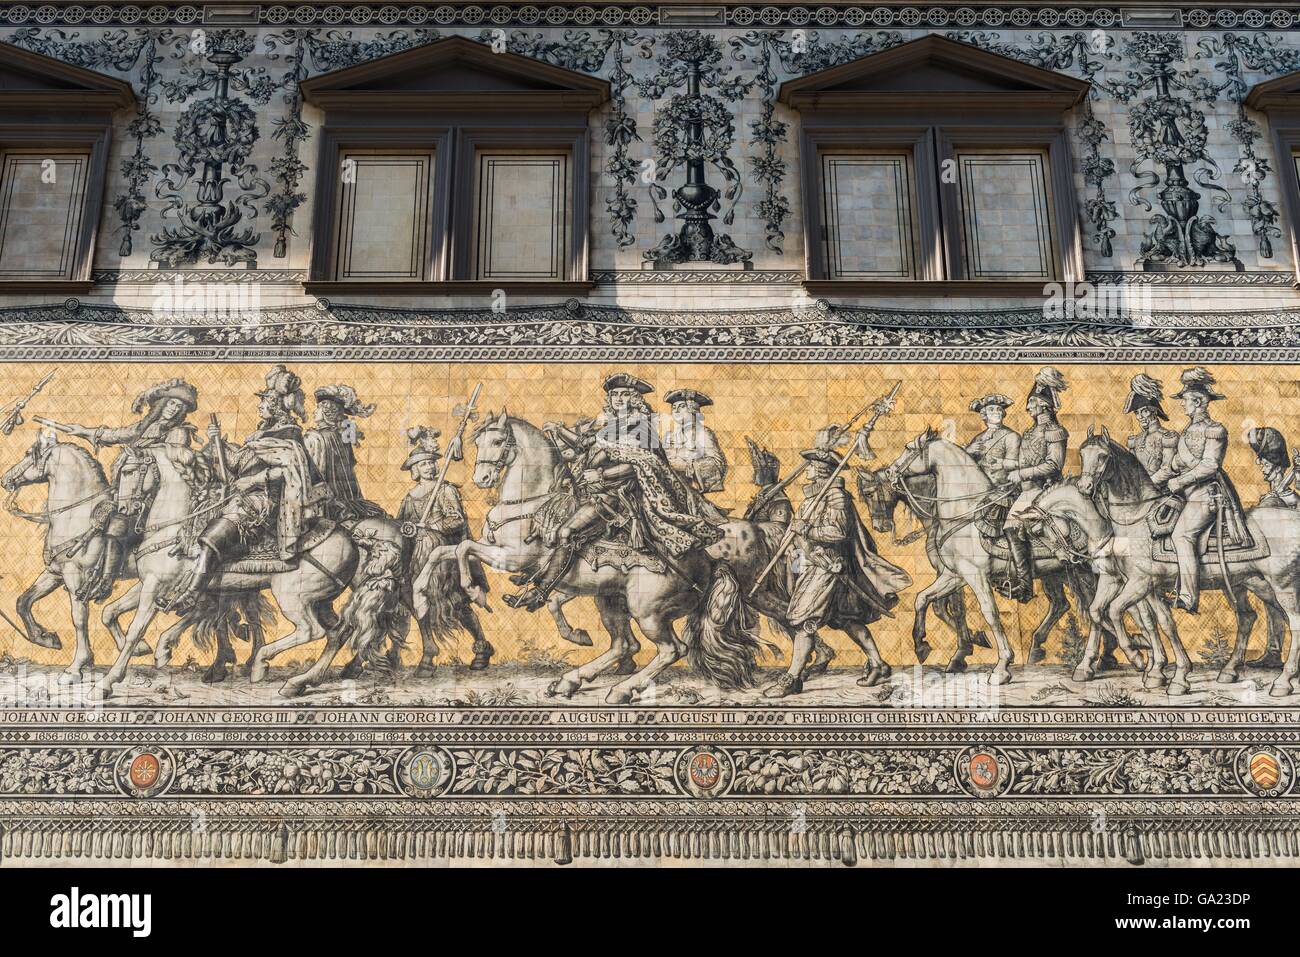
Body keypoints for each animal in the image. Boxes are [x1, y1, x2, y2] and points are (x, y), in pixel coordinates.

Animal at [1066, 429, 1300, 691]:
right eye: (1082, 454)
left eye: (1103, 456)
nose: (1084, 487)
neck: (1137, 518)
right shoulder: (1149, 587)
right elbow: (1162, 622)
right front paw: (1167, 673)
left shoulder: (1140, 583)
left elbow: (1116, 610)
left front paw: (1138, 655)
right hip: (1250, 582)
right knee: (1250, 617)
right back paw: (1230, 671)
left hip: (1282, 585)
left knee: (1293, 621)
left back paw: (1283, 681)